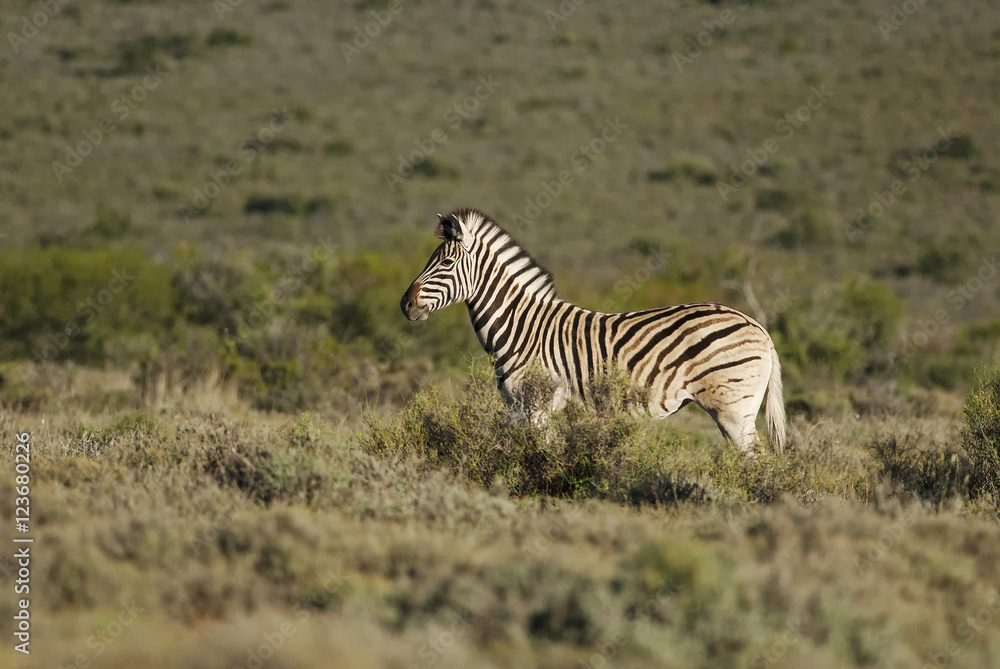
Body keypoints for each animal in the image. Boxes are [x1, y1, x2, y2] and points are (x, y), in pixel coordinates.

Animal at [400, 208, 785, 455]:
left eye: (446, 262)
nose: (405, 304)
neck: (521, 326)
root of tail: (760, 328)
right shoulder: (517, 408)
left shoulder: (539, 406)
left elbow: (539, 455)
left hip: (733, 409)